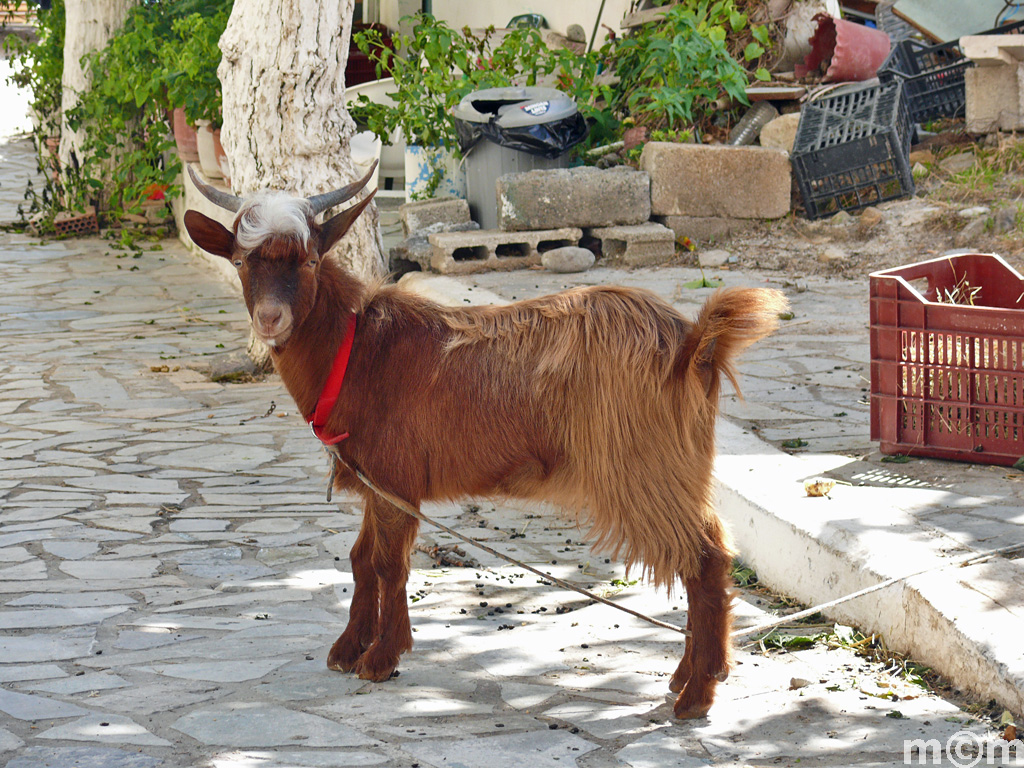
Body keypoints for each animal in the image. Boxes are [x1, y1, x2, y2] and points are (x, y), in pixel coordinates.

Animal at [184, 163, 786, 720]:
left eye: (308, 260)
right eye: (241, 261)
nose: (270, 320)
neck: (358, 349)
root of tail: (693, 344)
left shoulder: (396, 480)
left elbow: (388, 563)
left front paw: (381, 659)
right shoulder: (378, 482)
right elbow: (360, 559)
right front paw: (348, 649)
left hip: (646, 467)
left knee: (705, 559)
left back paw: (696, 695)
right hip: (680, 468)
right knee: (710, 552)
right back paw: (697, 672)